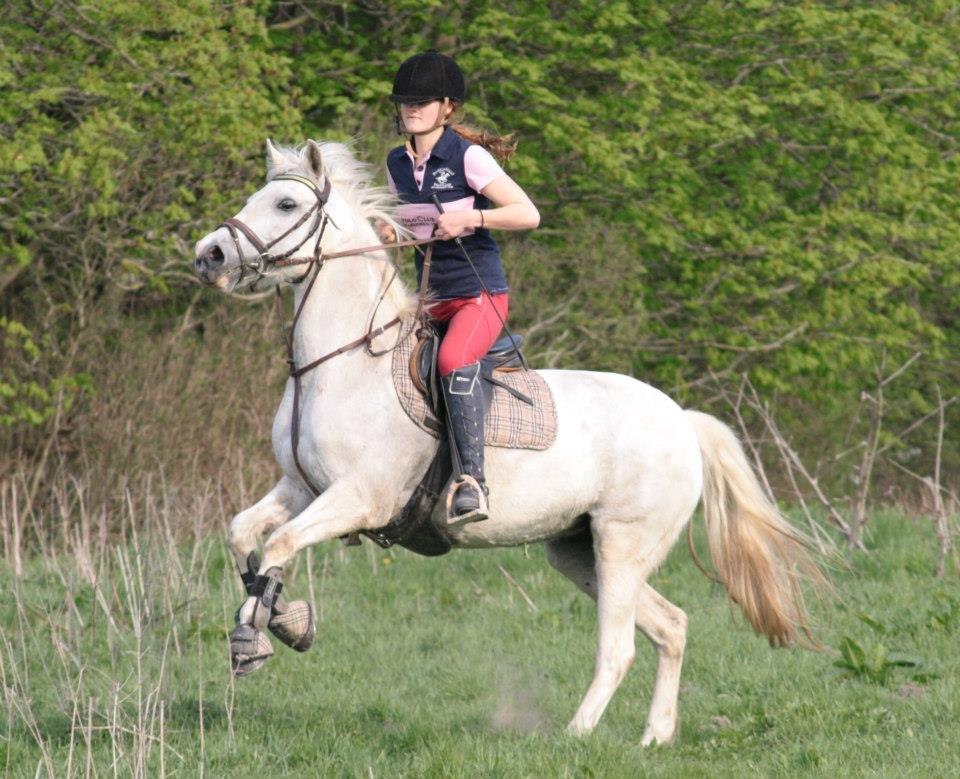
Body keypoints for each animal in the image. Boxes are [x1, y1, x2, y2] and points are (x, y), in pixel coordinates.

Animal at [193, 139, 823, 745]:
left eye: (285, 204)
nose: (209, 255)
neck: (343, 361)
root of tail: (682, 422)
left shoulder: (358, 499)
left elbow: (279, 544)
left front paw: (258, 635)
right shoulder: (301, 487)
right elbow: (243, 533)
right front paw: (275, 621)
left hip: (623, 544)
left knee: (619, 648)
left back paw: (574, 735)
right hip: (577, 550)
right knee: (671, 626)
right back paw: (655, 737)